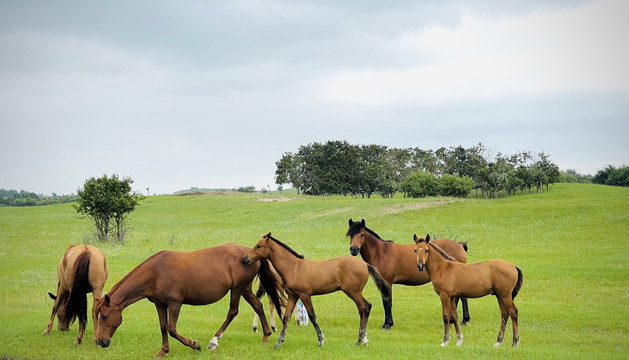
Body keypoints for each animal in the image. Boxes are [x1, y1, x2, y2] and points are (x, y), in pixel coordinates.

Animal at [92, 243, 282, 358]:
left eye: (105, 316)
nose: (101, 341)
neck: (155, 273)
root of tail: (250, 253)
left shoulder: (175, 304)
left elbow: (172, 329)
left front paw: (194, 344)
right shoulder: (160, 304)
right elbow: (163, 327)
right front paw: (163, 351)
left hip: (237, 289)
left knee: (233, 312)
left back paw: (214, 341)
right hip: (245, 289)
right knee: (258, 306)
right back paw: (265, 335)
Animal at [242, 233, 392, 348]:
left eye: (259, 246)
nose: (245, 258)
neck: (293, 267)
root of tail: (365, 264)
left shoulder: (305, 295)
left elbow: (312, 316)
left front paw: (321, 340)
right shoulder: (293, 296)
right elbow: (286, 317)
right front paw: (278, 342)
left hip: (353, 292)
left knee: (366, 307)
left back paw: (360, 340)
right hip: (354, 293)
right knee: (362, 309)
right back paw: (363, 339)